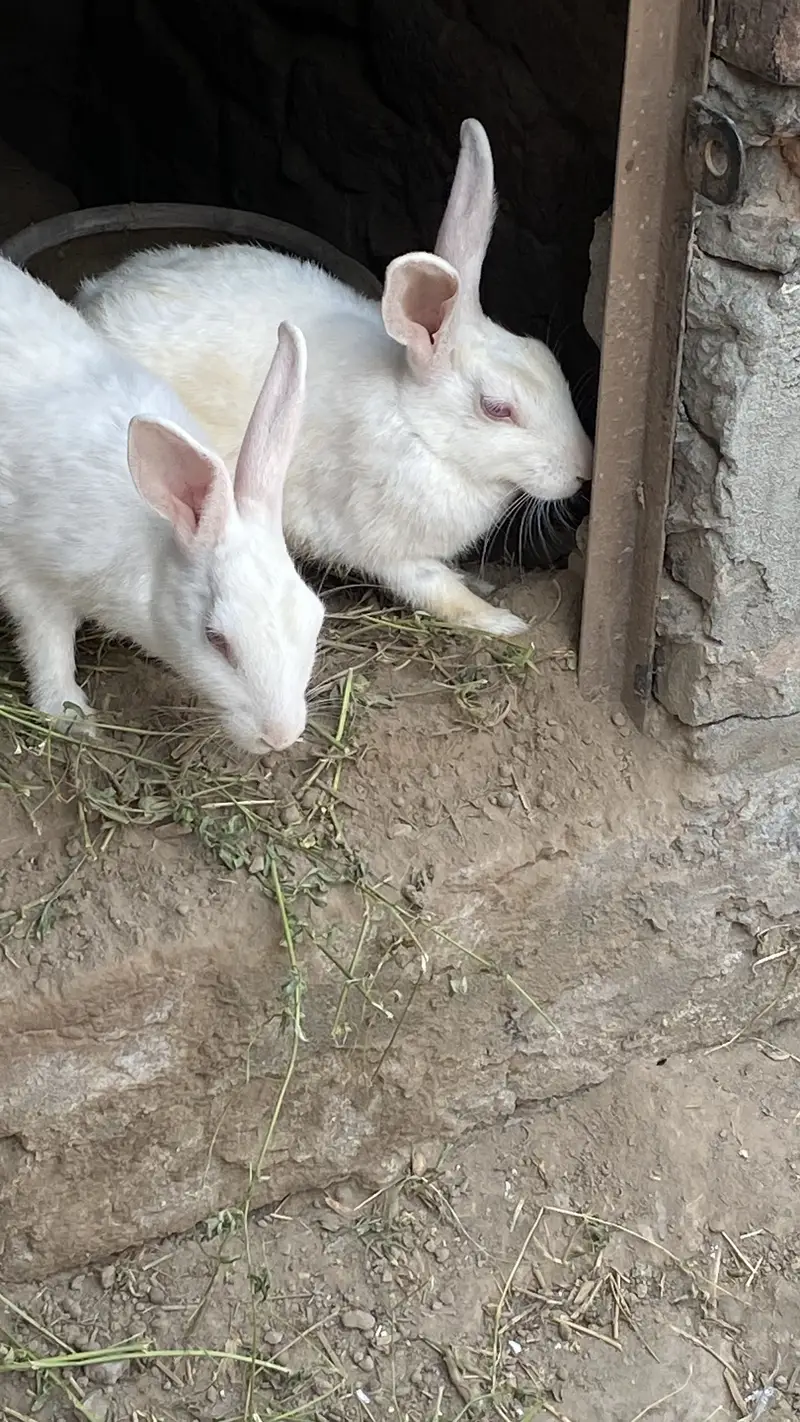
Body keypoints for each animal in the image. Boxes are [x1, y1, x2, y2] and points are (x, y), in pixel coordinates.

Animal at [0, 257, 324, 752]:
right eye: (216, 640)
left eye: (314, 617)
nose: (280, 737)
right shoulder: (30, 577)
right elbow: (47, 644)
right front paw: (71, 716)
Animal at [77, 118, 593, 638]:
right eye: (497, 409)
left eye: (547, 359)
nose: (583, 471)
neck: (421, 432)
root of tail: (91, 299)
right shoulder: (389, 547)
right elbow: (438, 591)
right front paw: (502, 621)